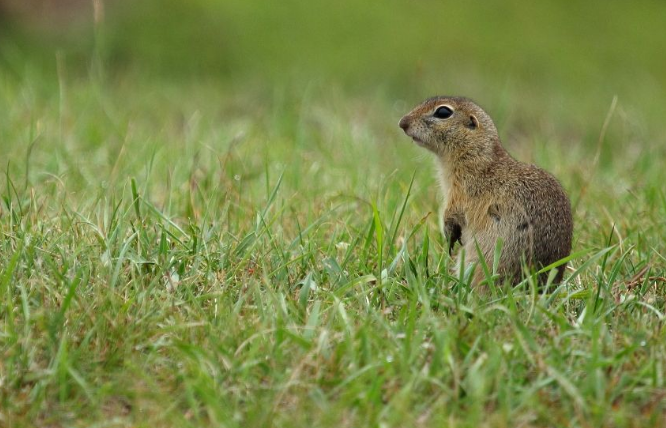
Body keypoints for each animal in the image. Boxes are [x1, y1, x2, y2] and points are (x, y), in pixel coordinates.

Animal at [396, 95, 572, 286]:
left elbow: (452, 212)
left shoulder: (461, 192)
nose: (402, 123)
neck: (477, 156)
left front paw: (449, 235)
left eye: (443, 112)